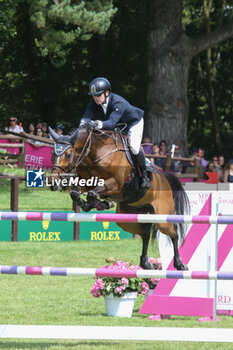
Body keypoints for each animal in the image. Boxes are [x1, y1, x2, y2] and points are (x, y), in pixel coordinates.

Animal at [49, 126, 189, 270]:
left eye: (68, 154)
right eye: (52, 154)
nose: (53, 182)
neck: (95, 154)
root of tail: (164, 177)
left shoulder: (115, 183)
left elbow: (92, 194)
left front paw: (102, 204)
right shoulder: (87, 183)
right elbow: (75, 193)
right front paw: (90, 204)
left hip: (162, 218)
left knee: (174, 234)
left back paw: (179, 264)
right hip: (129, 217)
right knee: (145, 234)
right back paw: (146, 263)